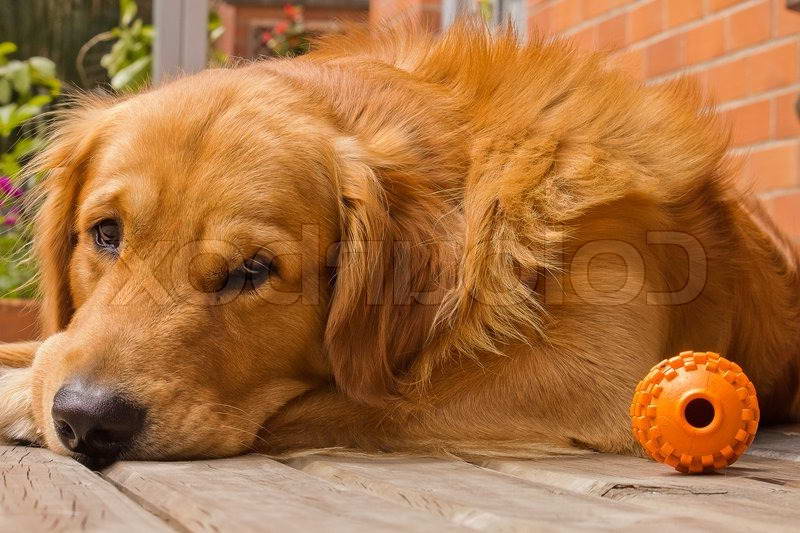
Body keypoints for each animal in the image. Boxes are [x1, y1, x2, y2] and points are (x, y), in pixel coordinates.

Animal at [1, 25, 800, 466]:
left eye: (254, 270)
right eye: (105, 234)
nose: (88, 418)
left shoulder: (591, 378)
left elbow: (346, 400)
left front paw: (15, 397)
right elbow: (44, 344)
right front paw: (27, 371)